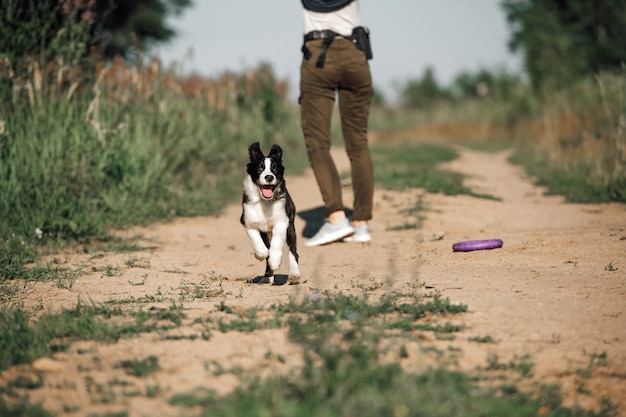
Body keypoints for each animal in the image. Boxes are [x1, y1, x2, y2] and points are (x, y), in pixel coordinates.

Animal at [238, 142, 298, 282]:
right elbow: (260, 246)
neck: (264, 201)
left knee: (293, 251)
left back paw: (294, 274)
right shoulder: (248, 222)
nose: (269, 177)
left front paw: (275, 261)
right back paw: (268, 276)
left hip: (291, 224)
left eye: (275, 169)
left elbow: (276, 243)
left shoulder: (282, 221)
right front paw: (261, 255)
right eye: (260, 168)